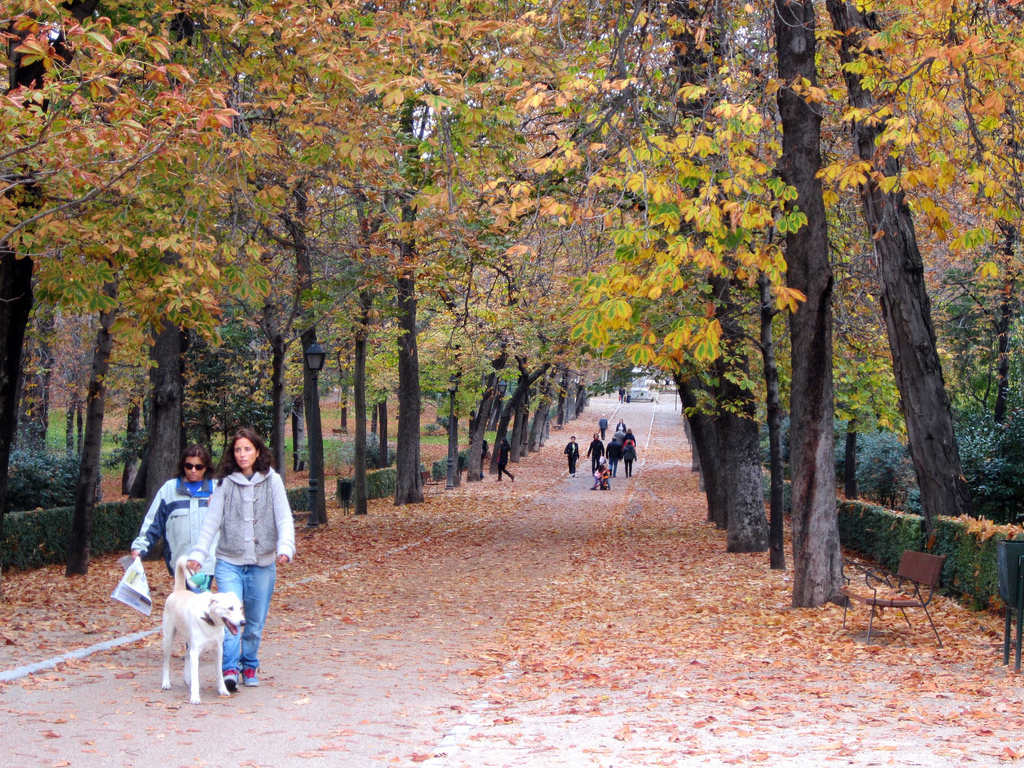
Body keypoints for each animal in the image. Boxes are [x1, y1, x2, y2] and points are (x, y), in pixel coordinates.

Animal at [161, 557, 245, 708]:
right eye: (230, 608)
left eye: (240, 608)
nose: (243, 622)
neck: (209, 619)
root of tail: (179, 590)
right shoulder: (196, 652)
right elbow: (196, 678)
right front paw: (195, 697)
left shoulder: (218, 649)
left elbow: (219, 673)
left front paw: (223, 690)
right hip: (168, 639)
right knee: (166, 662)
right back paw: (166, 683)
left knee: (186, 655)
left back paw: (186, 679)